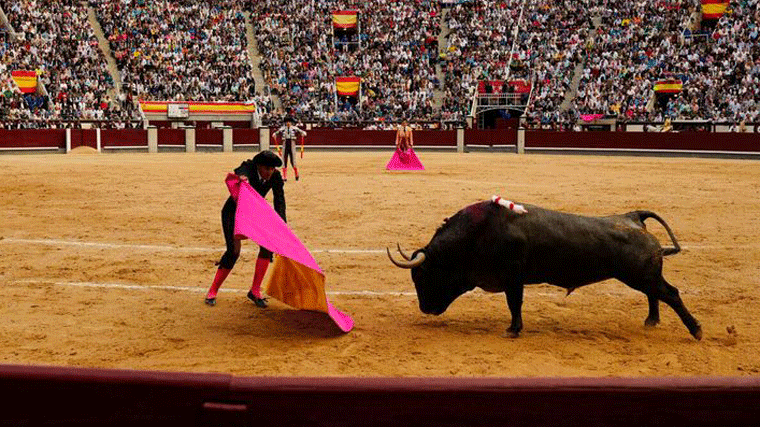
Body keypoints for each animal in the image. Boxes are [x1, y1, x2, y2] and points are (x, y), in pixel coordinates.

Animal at [388, 201, 704, 342]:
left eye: (423, 276)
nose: (425, 309)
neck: (475, 235)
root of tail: (634, 217)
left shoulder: (513, 278)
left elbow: (514, 304)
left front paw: (513, 330)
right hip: (644, 276)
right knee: (656, 295)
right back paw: (651, 321)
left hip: (640, 275)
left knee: (670, 294)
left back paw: (696, 330)